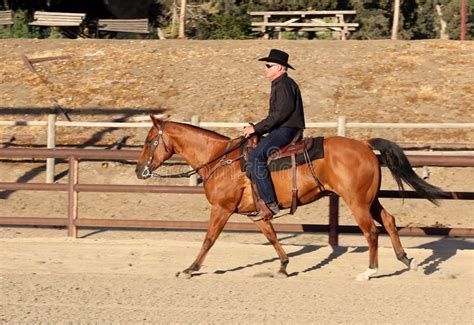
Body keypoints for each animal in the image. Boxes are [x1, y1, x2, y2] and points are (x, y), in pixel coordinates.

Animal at [134, 117, 444, 280]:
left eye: (149, 141)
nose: (139, 170)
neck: (221, 160)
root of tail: (364, 144)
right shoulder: (256, 214)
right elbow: (272, 236)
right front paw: (283, 266)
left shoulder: (222, 209)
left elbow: (209, 239)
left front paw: (190, 268)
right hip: (370, 200)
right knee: (389, 221)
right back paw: (406, 260)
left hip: (357, 203)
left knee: (371, 232)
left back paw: (369, 271)